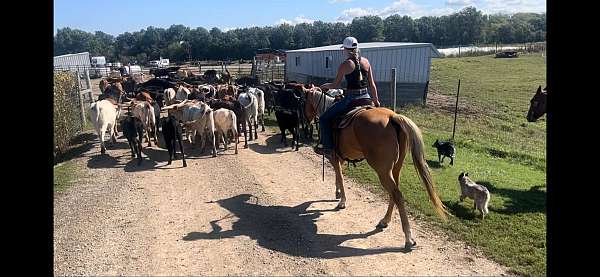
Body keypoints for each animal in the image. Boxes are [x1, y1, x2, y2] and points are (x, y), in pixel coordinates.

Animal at [302, 85, 448, 248]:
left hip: (382, 171)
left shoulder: (334, 156)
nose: (305, 120)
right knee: (395, 193)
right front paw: (338, 193)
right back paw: (385, 221)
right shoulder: (339, 158)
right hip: (395, 168)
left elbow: (339, 176)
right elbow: (338, 176)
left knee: (396, 194)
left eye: (303, 101)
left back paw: (408, 237)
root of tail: (392, 117)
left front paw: (342, 201)